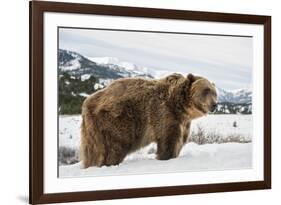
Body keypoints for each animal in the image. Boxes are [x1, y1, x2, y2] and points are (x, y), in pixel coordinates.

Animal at [79, 73, 217, 167]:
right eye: (206, 90)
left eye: (215, 92)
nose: (214, 104)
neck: (180, 106)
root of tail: (87, 102)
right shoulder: (164, 114)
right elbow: (168, 140)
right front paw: (166, 157)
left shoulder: (183, 122)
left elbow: (180, 140)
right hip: (117, 120)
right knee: (115, 146)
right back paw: (110, 163)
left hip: (92, 129)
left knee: (92, 151)